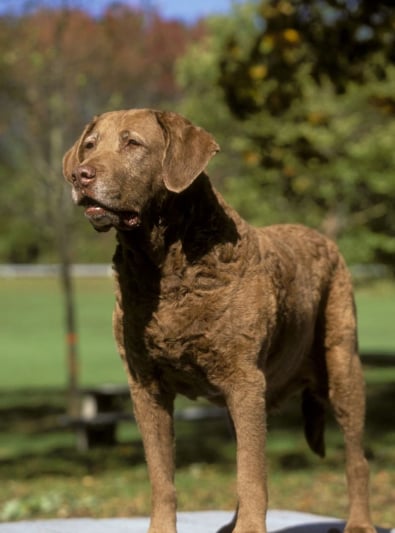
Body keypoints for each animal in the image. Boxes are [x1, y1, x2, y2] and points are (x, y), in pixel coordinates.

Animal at [62, 109, 378, 532]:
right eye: (90, 145)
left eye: (132, 144)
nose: (81, 175)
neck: (163, 271)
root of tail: (322, 238)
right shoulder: (145, 386)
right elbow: (162, 475)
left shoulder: (245, 380)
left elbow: (252, 473)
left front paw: (251, 529)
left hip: (342, 364)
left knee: (356, 457)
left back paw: (358, 522)